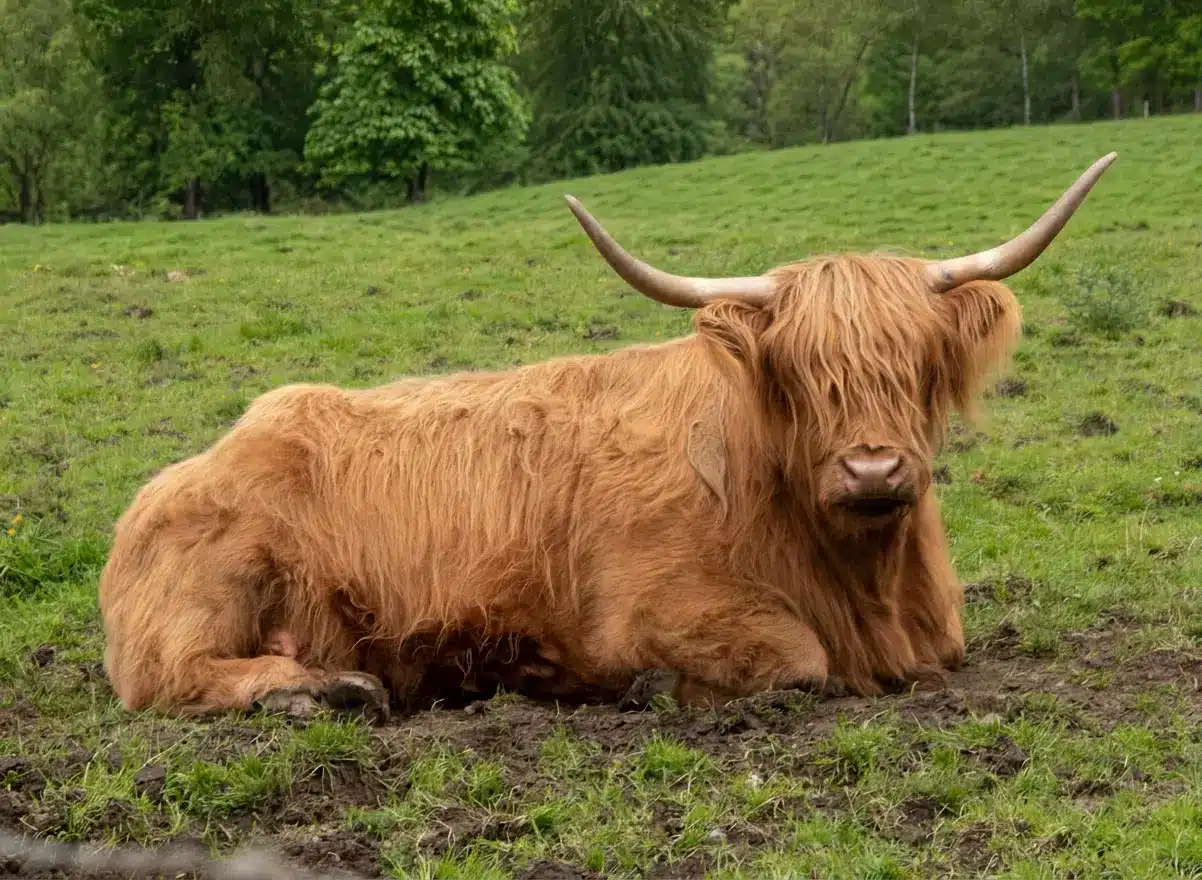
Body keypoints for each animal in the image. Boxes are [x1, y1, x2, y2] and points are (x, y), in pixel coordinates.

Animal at [97, 154, 1117, 722]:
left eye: (914, 364)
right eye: (799, 371)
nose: (872, 467)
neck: (864, 580)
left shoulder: (937, 636)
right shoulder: (650, 611)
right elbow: (797, 661)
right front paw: (654, 690)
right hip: (214, 588)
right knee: (175, 676)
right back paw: (327, 690)